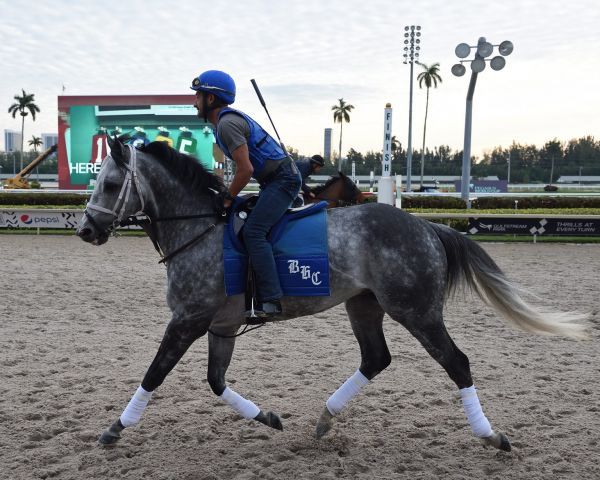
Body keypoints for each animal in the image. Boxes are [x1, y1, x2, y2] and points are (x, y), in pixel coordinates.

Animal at [76, 136, 584, 454]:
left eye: (110, 183)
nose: (86, 230)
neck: (201, 229)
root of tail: (427, 227)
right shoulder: (220, 325)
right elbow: (216, 382)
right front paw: (268, 418)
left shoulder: (187, 320)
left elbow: (154, 374)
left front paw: (115, 429)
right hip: (365, 305)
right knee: (376, 358)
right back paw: (324, 418)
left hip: (416, 310)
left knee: (456, 362)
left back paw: (490, 436)